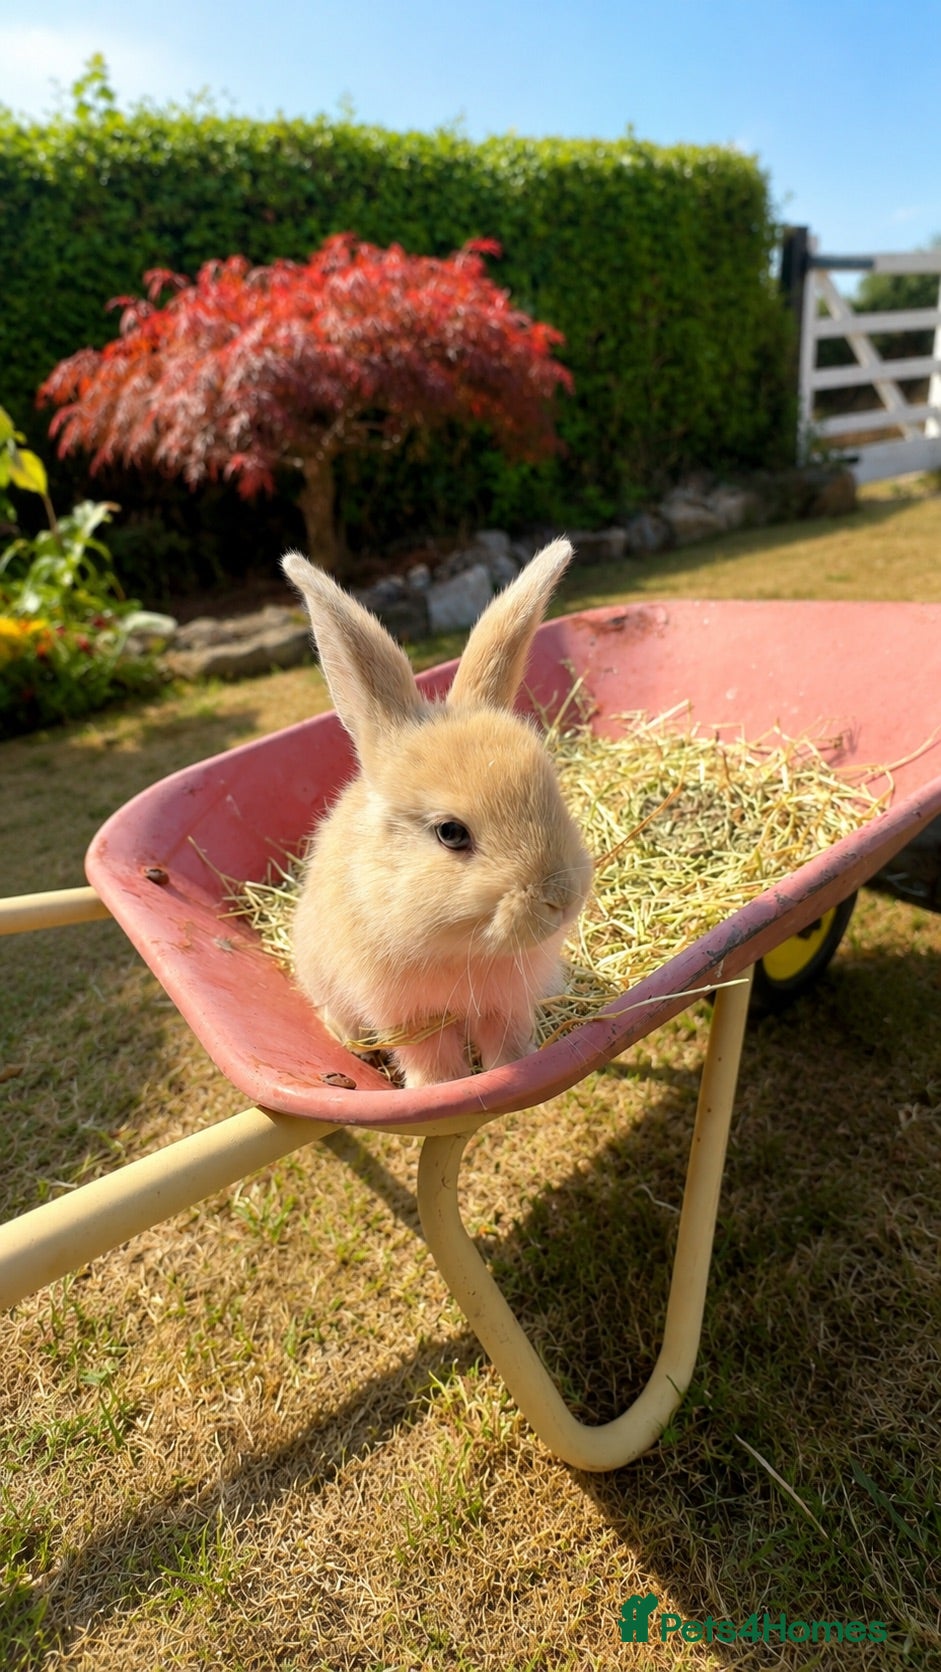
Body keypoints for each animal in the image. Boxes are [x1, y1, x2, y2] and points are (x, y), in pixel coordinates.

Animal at [281, 538, 593, 1088]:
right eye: (451, 833)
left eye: (553, 792)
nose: (559, 898)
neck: (461, 949)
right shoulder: (409, 1017)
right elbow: (431, 1060)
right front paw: (441, 1089)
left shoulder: (505, 1006)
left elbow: (506, 1045)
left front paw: (518, 1068)